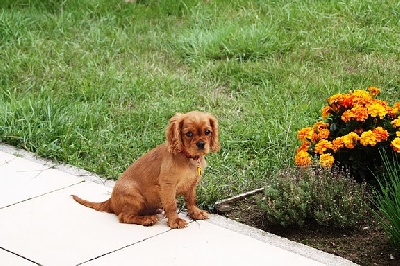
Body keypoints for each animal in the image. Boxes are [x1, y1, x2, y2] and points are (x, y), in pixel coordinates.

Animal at [72, 110, 219, 229]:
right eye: (189, 134)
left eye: (207, 132)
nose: (201, 144)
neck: (189, 158)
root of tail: (111, 201)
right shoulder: (168, 185)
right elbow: (171, 204)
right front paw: (175, 221)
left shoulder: (191, 184)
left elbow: (191, 200)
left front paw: (196, 213)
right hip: (134, 197)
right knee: (124, 216)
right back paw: (147, 219)